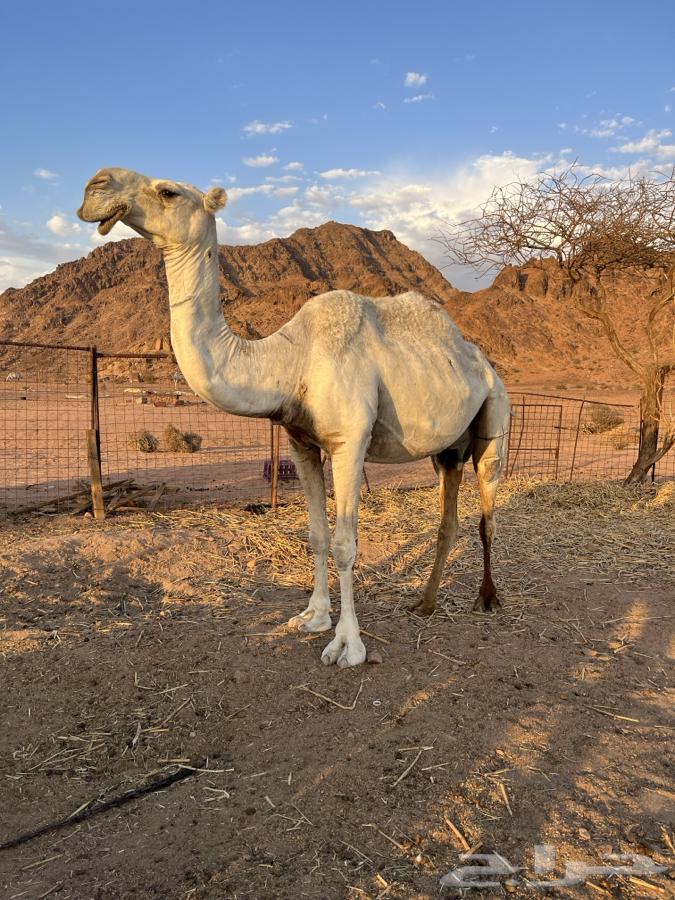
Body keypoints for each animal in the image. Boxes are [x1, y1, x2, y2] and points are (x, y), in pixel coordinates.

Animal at [77, 168, 511, 669]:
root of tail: (483, 363)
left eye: (168, 191)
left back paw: (488, 599)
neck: (291, 362)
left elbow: (345, 545)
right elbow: (317, 535)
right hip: (447, 448)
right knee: (449, 515)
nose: (95, 186)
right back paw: (425, 603)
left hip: (495, 415)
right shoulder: (300, 443)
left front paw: (348, 645)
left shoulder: (348, 443)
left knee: (488, 512)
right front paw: (314, 617)